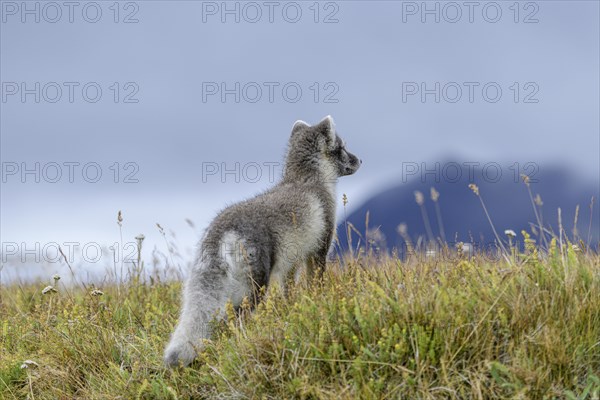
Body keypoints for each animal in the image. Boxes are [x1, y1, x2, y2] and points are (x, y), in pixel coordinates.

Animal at [164, 115, 360, 366]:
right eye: (343, 147)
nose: (360, 160)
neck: (307, 180)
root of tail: (221, 229)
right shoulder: (319, 249)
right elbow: (316, 282)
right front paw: (320, 299)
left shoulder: (290, 263)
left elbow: (288, 290)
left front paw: (290, 307)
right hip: (255, 285)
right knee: (238, 319)